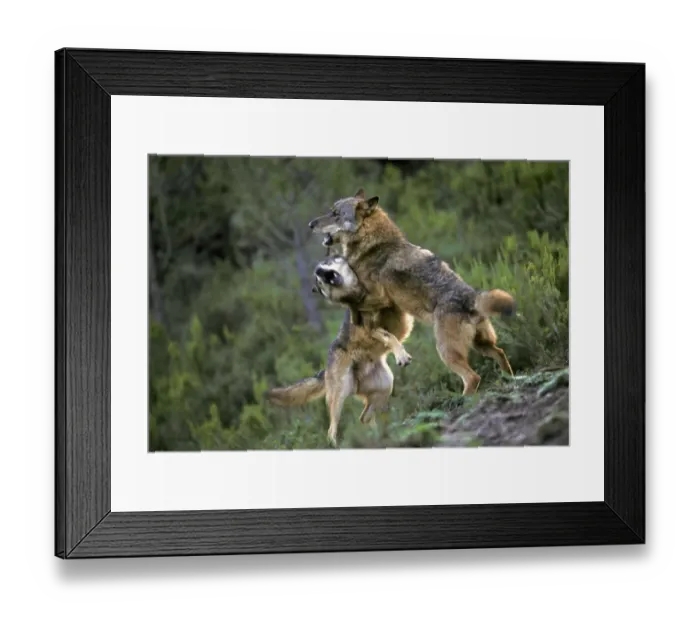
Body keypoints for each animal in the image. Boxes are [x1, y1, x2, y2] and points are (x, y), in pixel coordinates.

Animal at [264, 254, 414, 447]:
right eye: (318, 279)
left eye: (325, 264)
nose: (319, 271)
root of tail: (325, 369)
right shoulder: (371, 329)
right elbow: (390, 336)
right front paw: (401, 355)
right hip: (340, 396)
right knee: (332, 430)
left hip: (386, 386)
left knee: (364, 418)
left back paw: (377, 437)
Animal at [308, 188, 515, 396]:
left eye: (335, 213)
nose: (310, 224)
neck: (371, 245)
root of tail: (472, 297)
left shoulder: (379, 297)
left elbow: (354, 304)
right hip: (481, 345)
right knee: (500, 353)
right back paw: (510, 379)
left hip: (447, 352)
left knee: (473, 377)